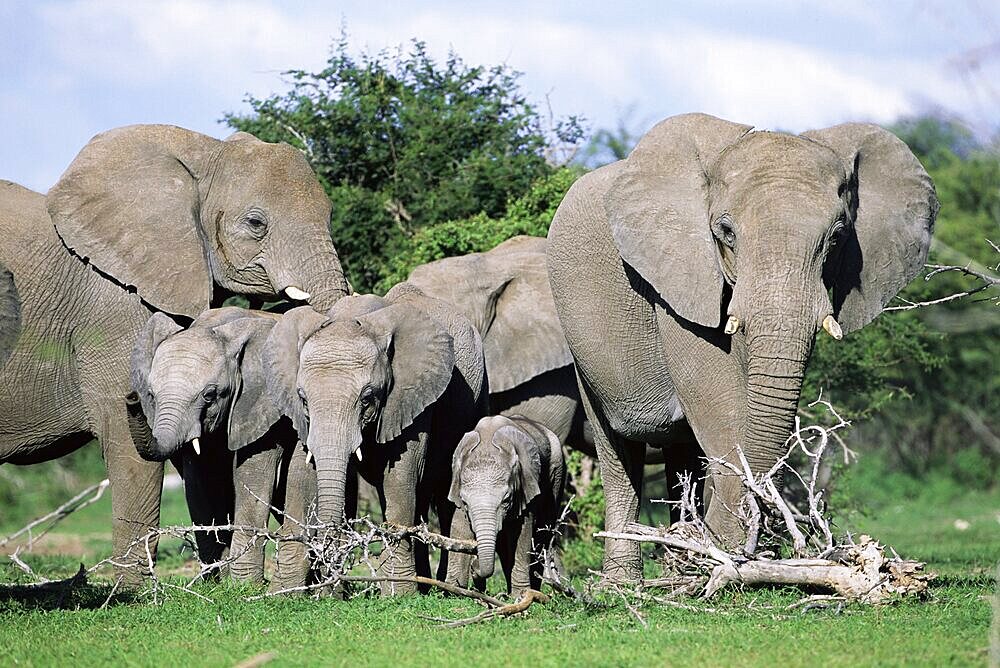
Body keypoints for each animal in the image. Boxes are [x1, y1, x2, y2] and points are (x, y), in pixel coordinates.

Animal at [129, 308, 314, 588]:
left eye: (209, 395)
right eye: (150, 394)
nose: (131, 399)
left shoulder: (261, 404)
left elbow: (252, 476)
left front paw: (244, 586)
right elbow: (199, 484)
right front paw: (216, 585)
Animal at [264, 282, 486, 596]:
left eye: (367, 398)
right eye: (303, 399)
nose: (331, 585)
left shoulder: (410, 393)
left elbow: (401, 474)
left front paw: (397, 594)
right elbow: (300, 472)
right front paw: (285, 592)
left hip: (476, 399)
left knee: (446, 494)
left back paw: (449, 589)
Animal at [450, 414, 568, 596]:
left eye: (506, 499)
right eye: (464, 501)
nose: (474, 567)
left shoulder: (526, 485)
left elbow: (522, 533)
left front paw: (520, 595)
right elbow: (458, 527)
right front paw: (452, 591)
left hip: (557, 471)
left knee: (542, 532)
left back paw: (531, 590)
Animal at [548, 113, 936, 580]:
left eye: (838, 237)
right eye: (726, 232)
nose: (752, 538)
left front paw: (723, 552)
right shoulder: (681, 273)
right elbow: (718, 396)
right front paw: (728, 549)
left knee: (681, 452)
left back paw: (681, 558)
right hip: (578, 336)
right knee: (617, 449)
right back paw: (628, 580)